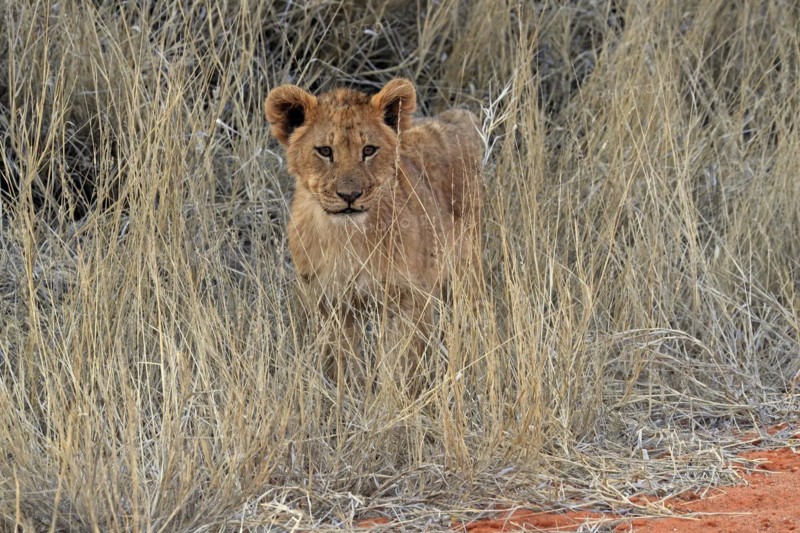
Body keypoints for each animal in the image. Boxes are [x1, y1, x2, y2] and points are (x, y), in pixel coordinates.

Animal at [265, 78, 483, 394]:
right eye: (325, 151)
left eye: (368, 150)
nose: (349, 195)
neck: (348, 238)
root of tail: (453, 117)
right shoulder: (331, 303)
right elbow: (339, 363)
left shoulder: (409, 298)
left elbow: (405, 362)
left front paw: (401, 398)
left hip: (465, 269)